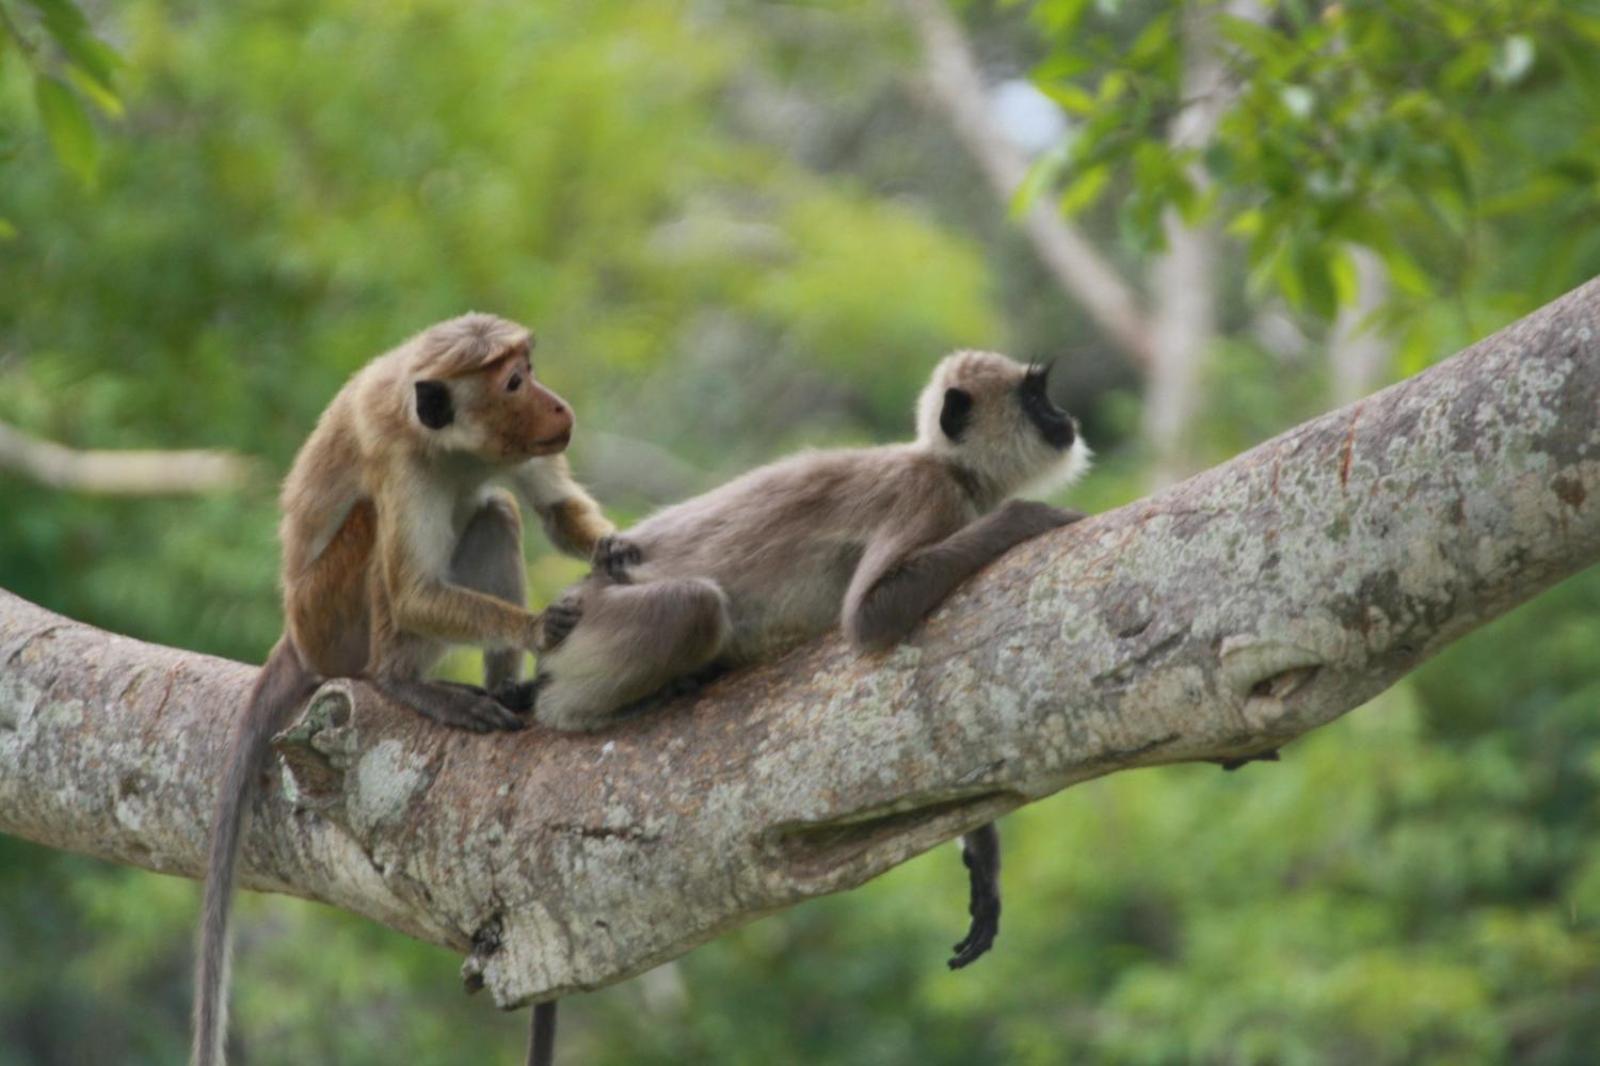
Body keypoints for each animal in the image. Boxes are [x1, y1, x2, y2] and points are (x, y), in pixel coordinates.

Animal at [188, 313, 611, 1062]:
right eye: (514, 381)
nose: (558, 406)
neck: (452, 447)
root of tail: (294, 633)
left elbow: (559, 512)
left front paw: (620, 552)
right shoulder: (397, 461)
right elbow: (413, 592)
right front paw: (540, 627)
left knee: (496, 509)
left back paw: (508, 690)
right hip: (332, 618)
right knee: (383, 536)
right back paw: (406, 683)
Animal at [518, 347, 1094, 973]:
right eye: (1035, 398)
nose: (1065, 418)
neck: (953, 470)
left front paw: (983, 861)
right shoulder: (925, 493)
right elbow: (868, 617)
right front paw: (1029, 517)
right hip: (598, 620)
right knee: (693, 606)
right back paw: (580, 710)